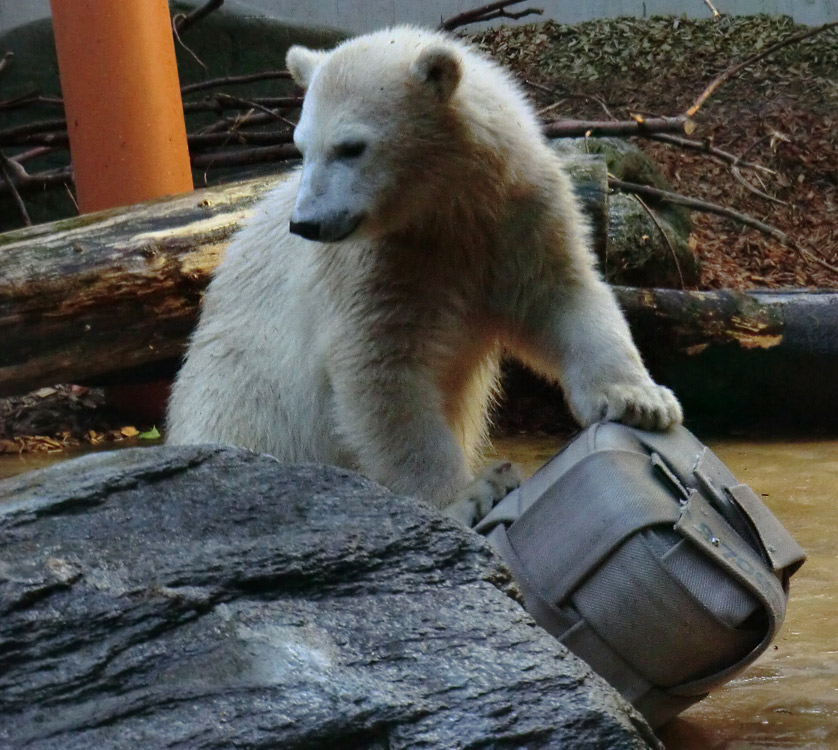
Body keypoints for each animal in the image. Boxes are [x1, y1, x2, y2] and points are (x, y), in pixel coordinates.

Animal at [167, 27, 684, 524]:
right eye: (301, 147)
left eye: (350, 147)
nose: (306, 224)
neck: (446, 207)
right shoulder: (375, 264)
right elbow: (380, 366)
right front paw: (470, 494)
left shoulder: (519, 214)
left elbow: (562, 297)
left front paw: (640, 400)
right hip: (241, 401)